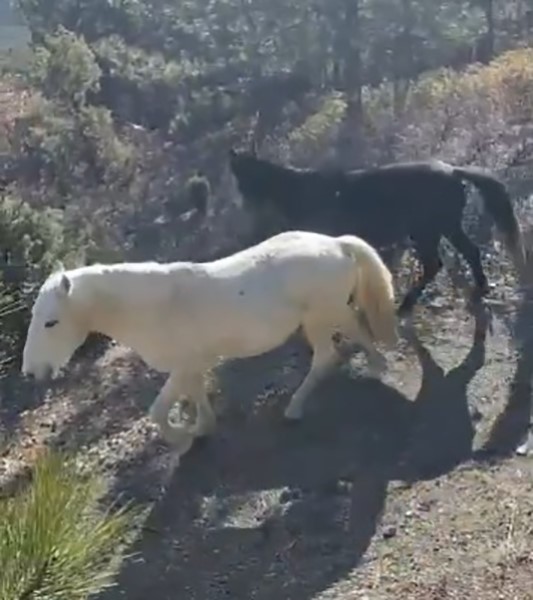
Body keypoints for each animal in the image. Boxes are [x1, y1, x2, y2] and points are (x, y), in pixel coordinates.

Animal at [20, 232, 396, 458]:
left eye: (51, 322)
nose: (31, 372)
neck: (158, 307)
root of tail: (337, 244)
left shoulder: (183, 365)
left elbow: (159, 411)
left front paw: (182, 438)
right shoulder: (193, 364)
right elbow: (196, 394)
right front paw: (202, 428)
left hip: (319, 319)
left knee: (325, 358)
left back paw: (294, 408)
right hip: (332, 312)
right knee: (357, 326)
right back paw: (377, 366)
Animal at [229, 150, 524, 316]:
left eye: (245, 182)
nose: (242, 214)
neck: (302, 195)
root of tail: (452, 170)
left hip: (428, 230)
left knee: (436, 263)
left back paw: (407, 306)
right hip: (444, 227)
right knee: (467, 253)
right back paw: (479, 288)